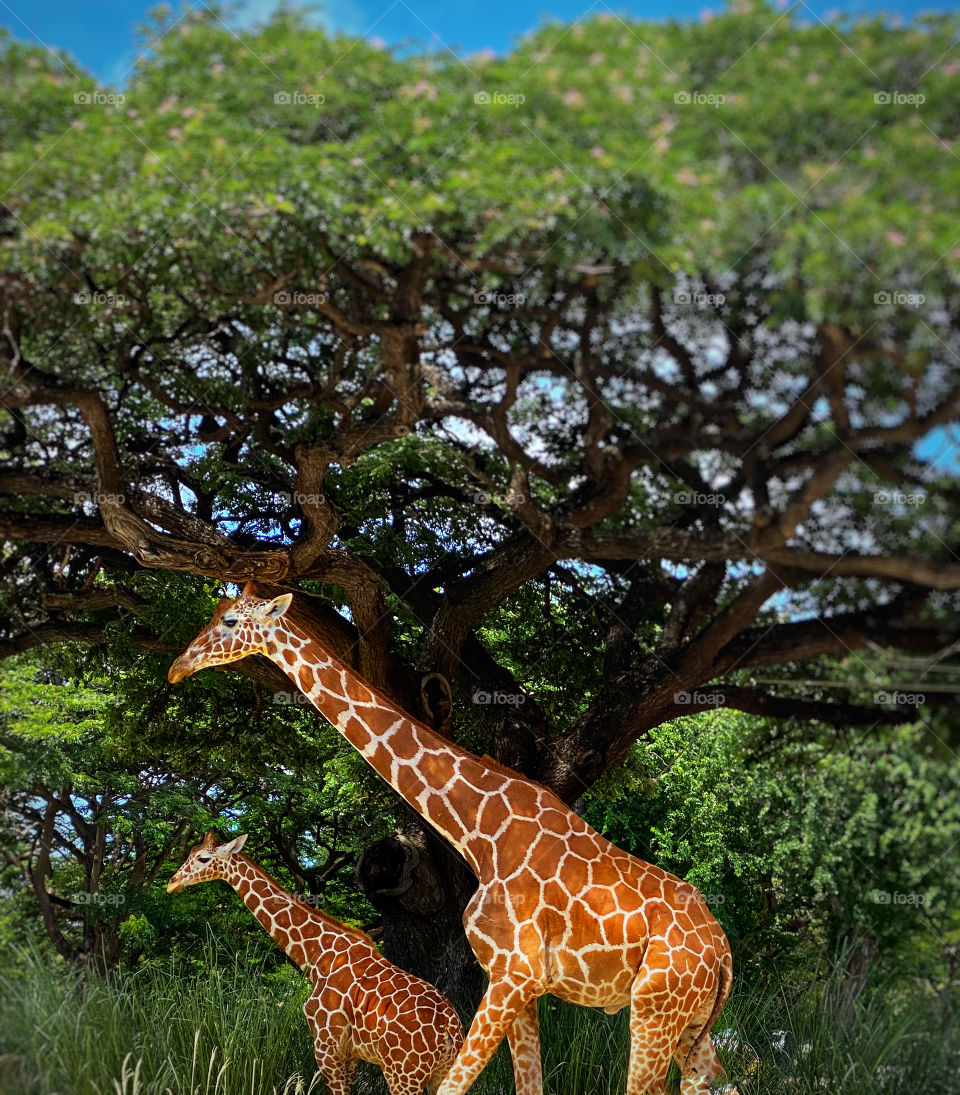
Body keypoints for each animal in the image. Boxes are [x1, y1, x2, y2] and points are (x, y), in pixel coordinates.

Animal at [166, 830, 463, 1095]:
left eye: (203, 858)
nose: (172, 882)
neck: (317, 957)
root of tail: (450, 1031)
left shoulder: (326, 1047)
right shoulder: (349, 1054)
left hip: (402, 1074)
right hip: (441, 1073)